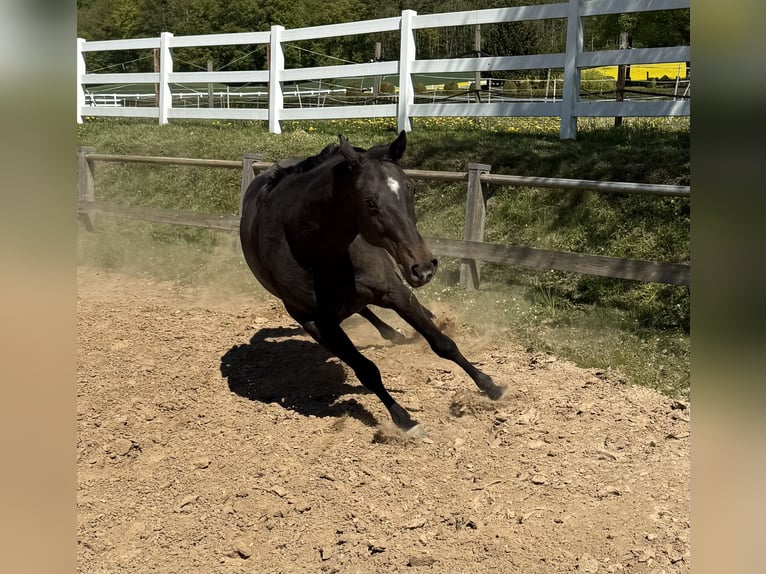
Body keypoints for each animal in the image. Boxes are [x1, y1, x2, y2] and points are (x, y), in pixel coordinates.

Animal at [239, 131, 506, 437]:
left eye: (411, 189)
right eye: (370, 202)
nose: (423, 268)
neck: (315, 247)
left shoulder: (395, 291)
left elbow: (442, 344)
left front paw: (490, 386)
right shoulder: (316, 323)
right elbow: (367, 370)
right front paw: (405, 420)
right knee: (362, 310)